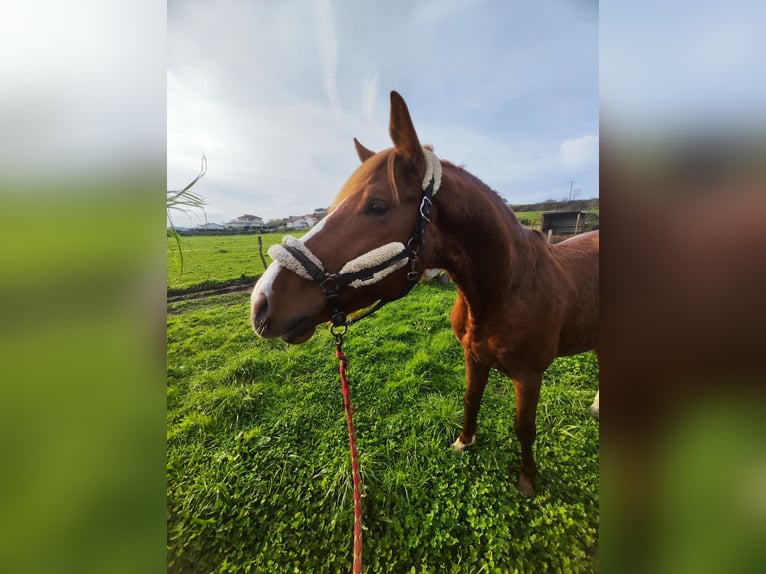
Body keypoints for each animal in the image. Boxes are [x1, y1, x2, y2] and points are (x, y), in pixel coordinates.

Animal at [252, 92, 600, 498]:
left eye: (376, 205)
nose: (261, 302)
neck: (505, 290)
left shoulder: (530, 376)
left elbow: (524, 429)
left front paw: (527, 480)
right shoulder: (473, 358)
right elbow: (471, 400)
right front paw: (464, 442)